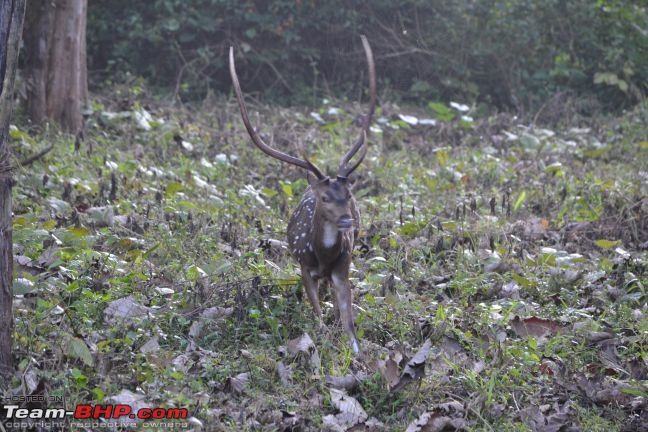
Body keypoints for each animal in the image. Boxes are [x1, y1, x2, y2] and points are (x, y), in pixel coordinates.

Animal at [230, 35, 378, 352]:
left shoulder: (343, 267)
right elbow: (318, 319)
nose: (347, 221)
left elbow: (350, 327)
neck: (322, 256)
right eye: (324, 198)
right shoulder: (303, 266)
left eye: (349, 195)